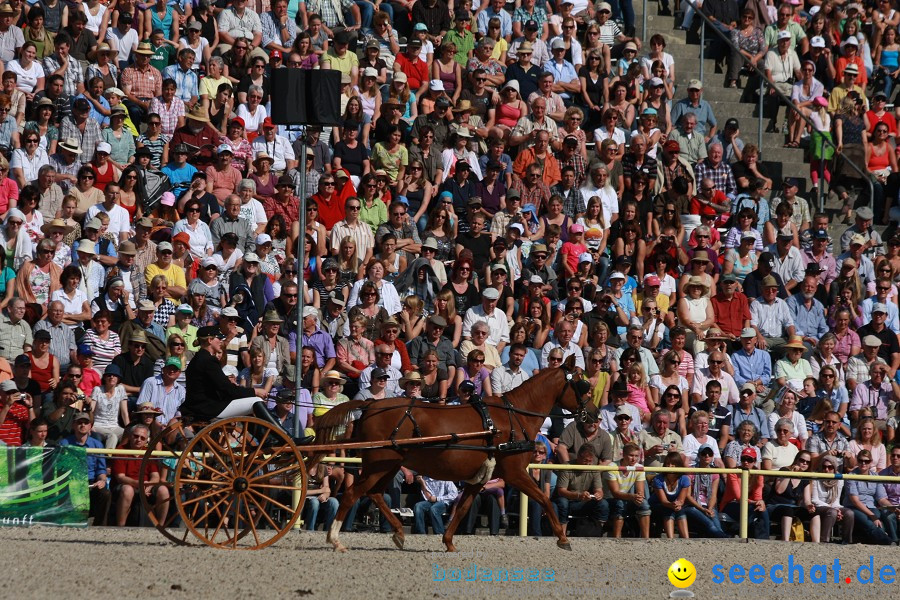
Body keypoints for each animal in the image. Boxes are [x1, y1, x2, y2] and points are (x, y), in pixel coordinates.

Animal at [312, 356, 596, 552]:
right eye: (582, 385)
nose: (593, 413)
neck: (513, 417)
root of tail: (371, 405)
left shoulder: (480, 478)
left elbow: (462, 509)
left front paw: (448, 541)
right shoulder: (515, 473)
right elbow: (545, 499)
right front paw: (563, 537)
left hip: (386, 465)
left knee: (374, 493)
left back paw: (398, 533)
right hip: (380, 465)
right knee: (353, 493)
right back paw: (335, 539)